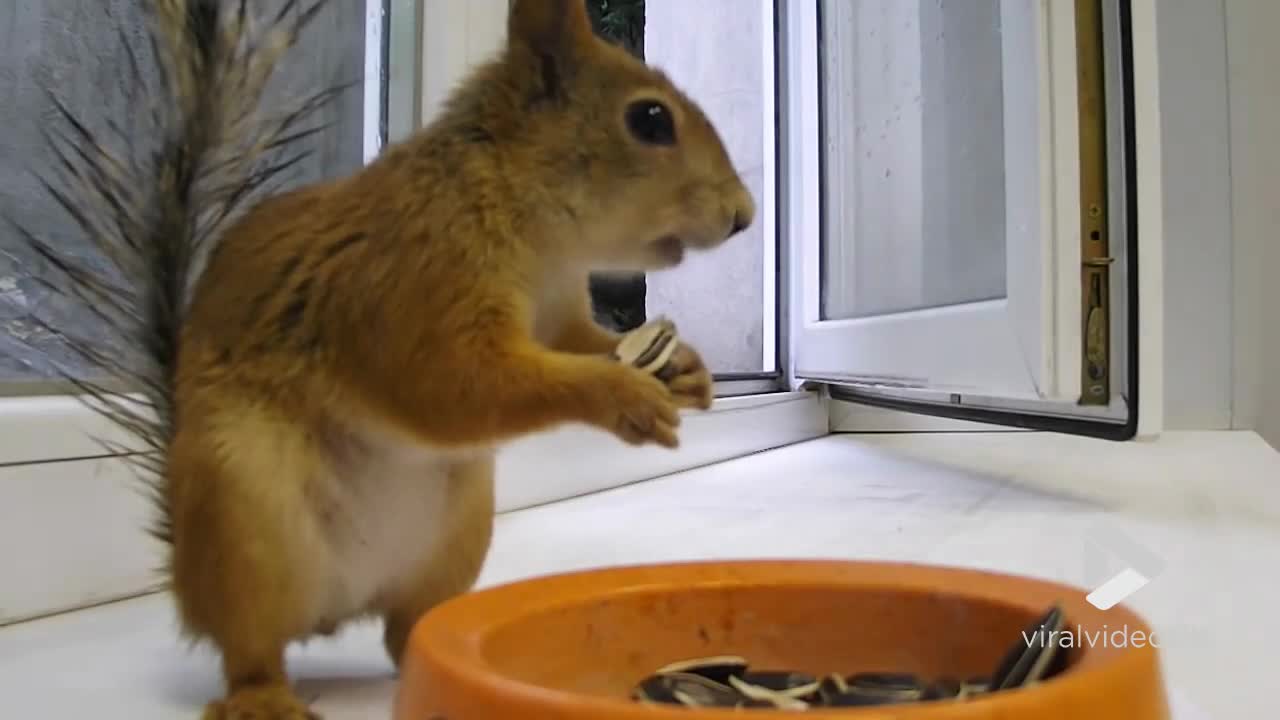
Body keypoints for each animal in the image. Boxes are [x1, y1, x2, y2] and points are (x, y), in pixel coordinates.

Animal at [9, 0, 754, 717]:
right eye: (650, 120)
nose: (744, 216)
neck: (529, 218)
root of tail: (335, 608)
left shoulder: (558, 313)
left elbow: (578, 343)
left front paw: (686, 368)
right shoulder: (415, 279)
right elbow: (453, 382)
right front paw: (620, 395)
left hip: (454, 541)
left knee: (405, 633)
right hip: (245, 519)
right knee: (250, 647)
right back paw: (263, 699)